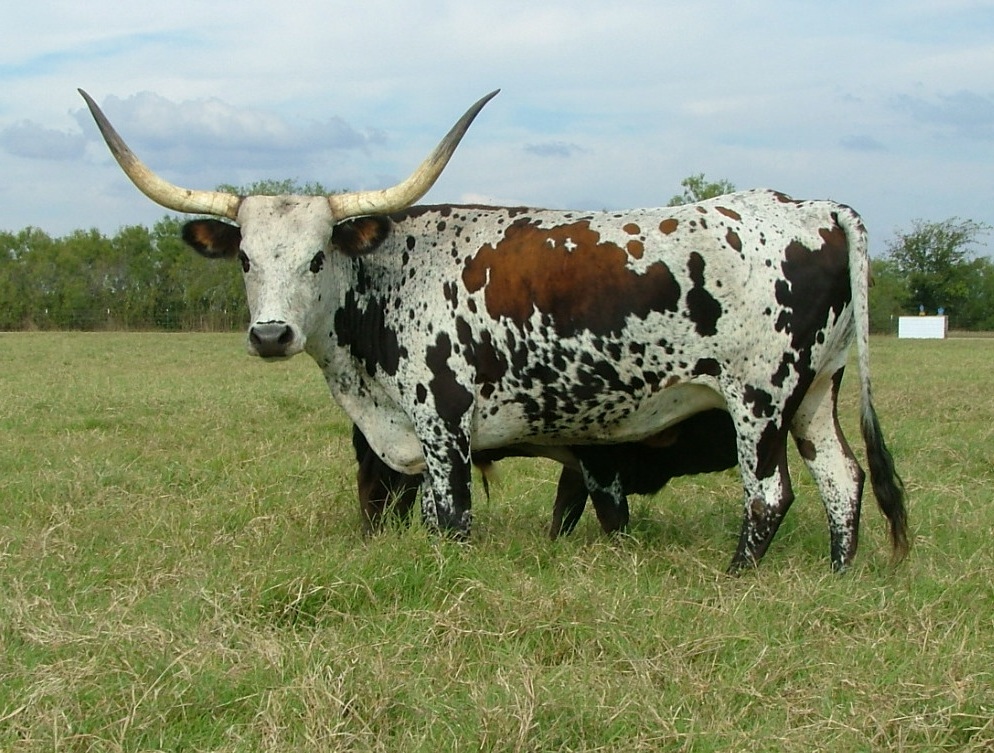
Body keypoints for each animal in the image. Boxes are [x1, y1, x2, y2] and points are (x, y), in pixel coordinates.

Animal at [81, 88, 908, 568]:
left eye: (318, 256)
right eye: (247, 258)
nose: (271, 334)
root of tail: (816, 207)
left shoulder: (443, 424)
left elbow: (450, 519)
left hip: (758, 398)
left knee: (768, 494)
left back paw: (737, 576)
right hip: (815, 392)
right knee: (843, 479)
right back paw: (837, 573)